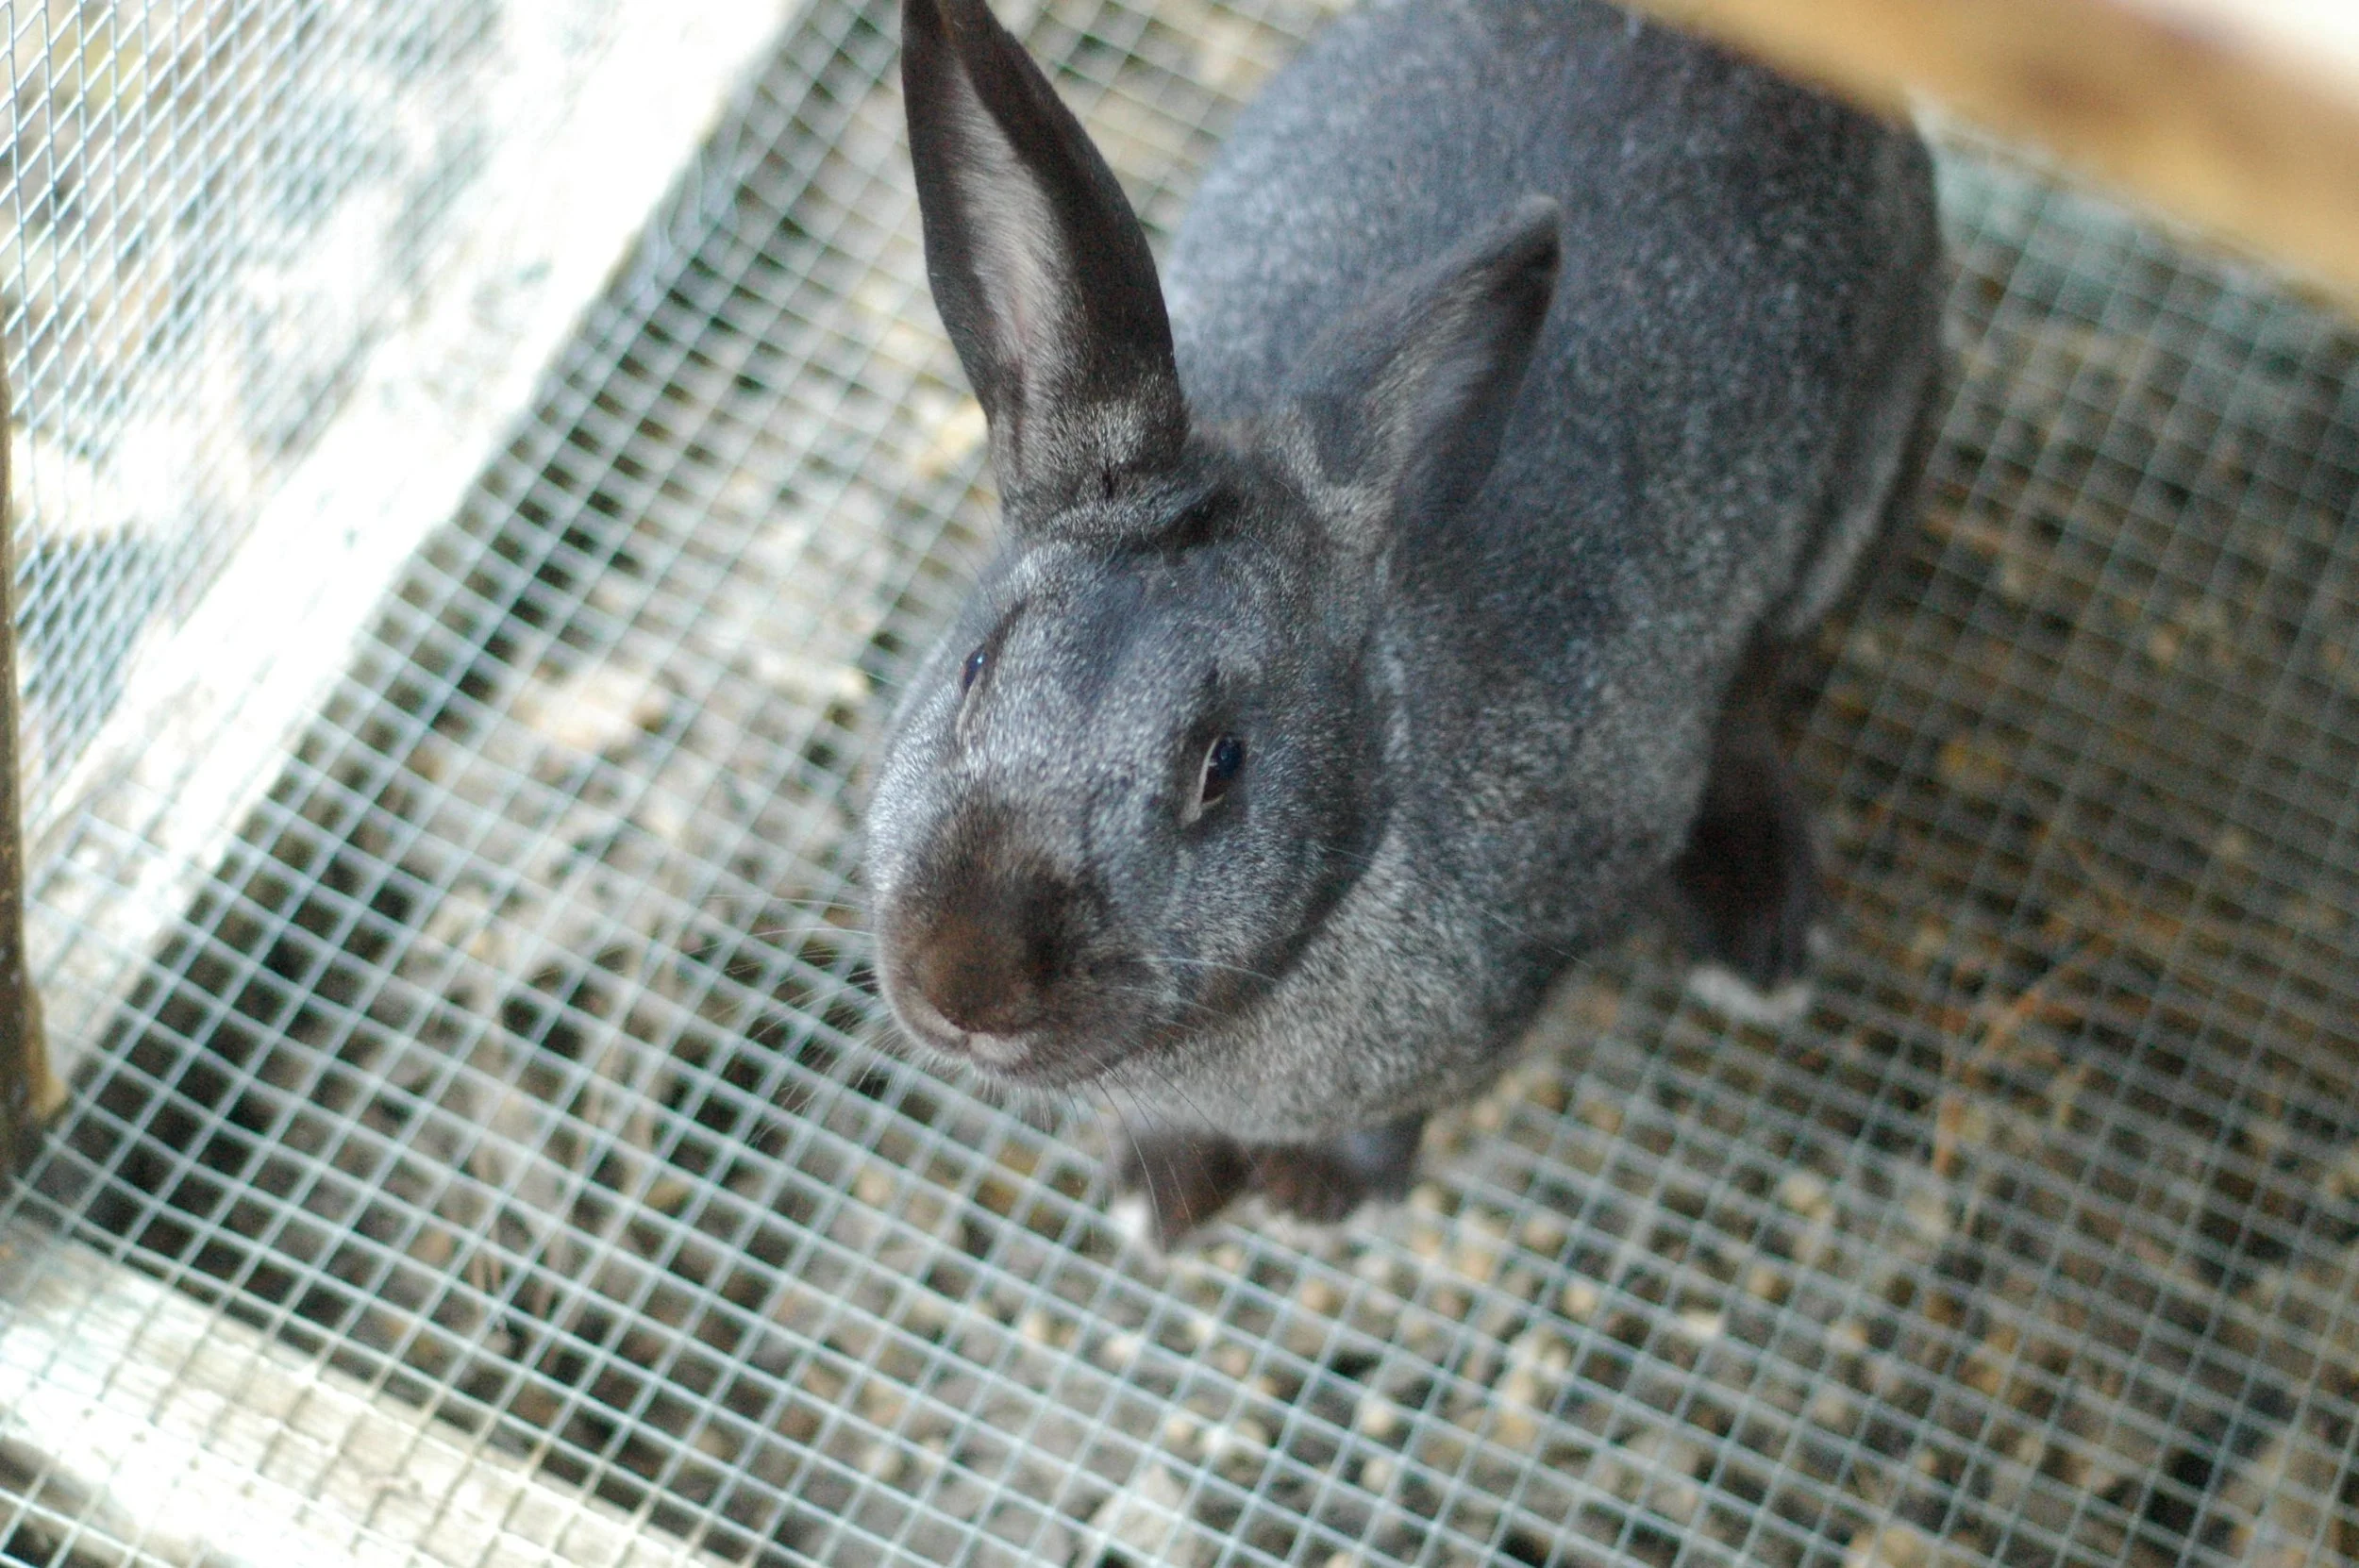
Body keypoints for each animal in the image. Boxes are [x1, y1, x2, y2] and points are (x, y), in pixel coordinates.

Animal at [865, 0, 1944, 1247]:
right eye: (974, 668)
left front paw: (1315, 1197)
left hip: (1850, 503)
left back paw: (1761, 930)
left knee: (1754, 706)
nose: (966, 986)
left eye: (1221, 767)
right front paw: (1159, 1196)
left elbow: (1398, 1118)